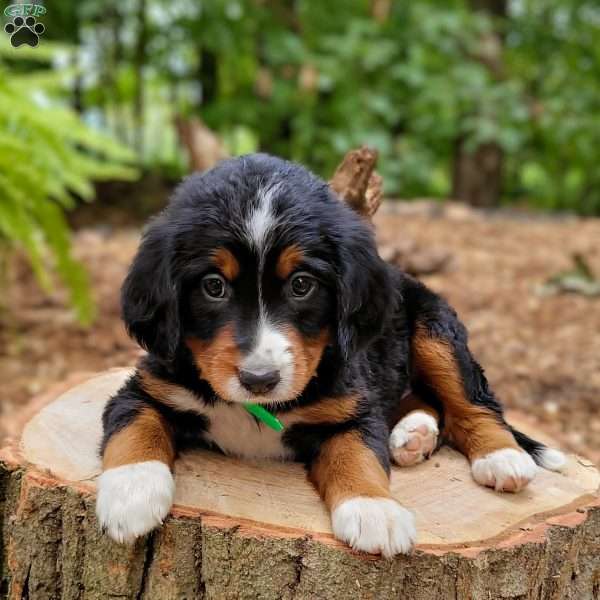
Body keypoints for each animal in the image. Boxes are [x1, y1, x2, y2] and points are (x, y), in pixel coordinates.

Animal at [96, 154, 564, 556]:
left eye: (302, 284)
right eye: (214, 286)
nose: (260, 380)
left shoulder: (351, 408)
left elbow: (356, 455)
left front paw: (375, 511)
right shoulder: (147, 388)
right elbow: (136, 427)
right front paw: (131, 492)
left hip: (435, 329)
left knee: (471, 402)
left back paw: (500, 457)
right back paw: (414, 435)